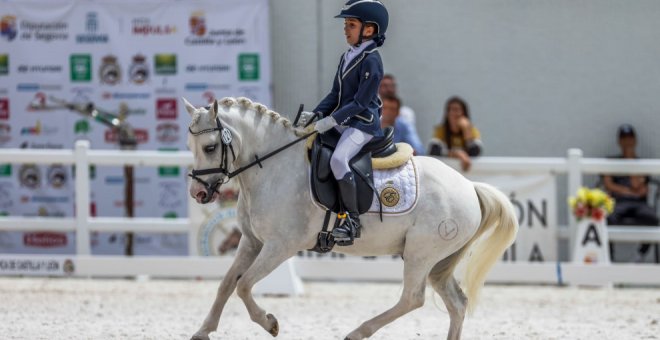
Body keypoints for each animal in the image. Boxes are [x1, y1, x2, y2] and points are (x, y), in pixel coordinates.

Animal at [183, 97, 520, 340]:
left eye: (210, 147)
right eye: (190, 146)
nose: (198, 194)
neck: (274, 167)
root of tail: (470, 187)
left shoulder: (280, 246)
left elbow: (244, 285)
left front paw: (270, 323)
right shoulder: (252, 242)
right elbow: (226, 284)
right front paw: (203, 331)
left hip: (421, 254)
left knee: (412, 298)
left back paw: (357, 332)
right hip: (439, 262)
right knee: (456, 303)